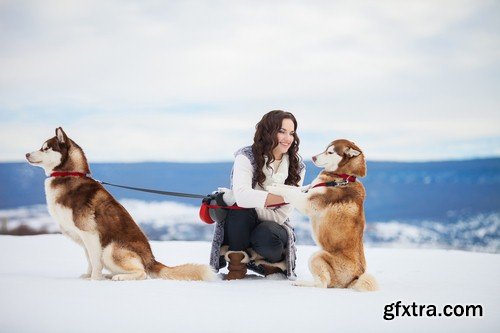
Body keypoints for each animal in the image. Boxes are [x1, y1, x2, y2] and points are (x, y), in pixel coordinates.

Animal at [268, 139, 376, 290]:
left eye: (330, 152)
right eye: (325, 149)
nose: (313, 157)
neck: (340, 178)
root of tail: (355, 277)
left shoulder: (307, 202)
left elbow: (289, 192)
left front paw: (270, 187)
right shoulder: (308, 189)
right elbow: (292, 187)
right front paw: (276, 184)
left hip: (317, 256)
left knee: (321, 284)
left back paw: (300, 283)